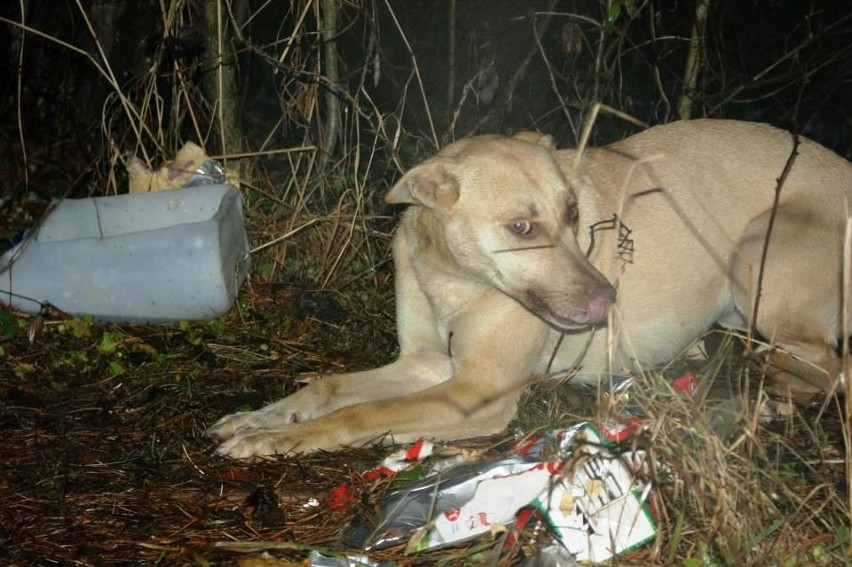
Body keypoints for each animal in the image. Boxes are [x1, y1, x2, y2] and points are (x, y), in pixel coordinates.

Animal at [208, 121, 852, 462]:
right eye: (522, 228)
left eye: (573, 215)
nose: (609, 301)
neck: (453, 280)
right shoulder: (423, 365)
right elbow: (329, 387)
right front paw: (260, 419)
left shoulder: (475, 394)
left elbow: (361, 413)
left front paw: (279, 439)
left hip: (756, 251)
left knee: (831, 368)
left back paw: (766, 391)